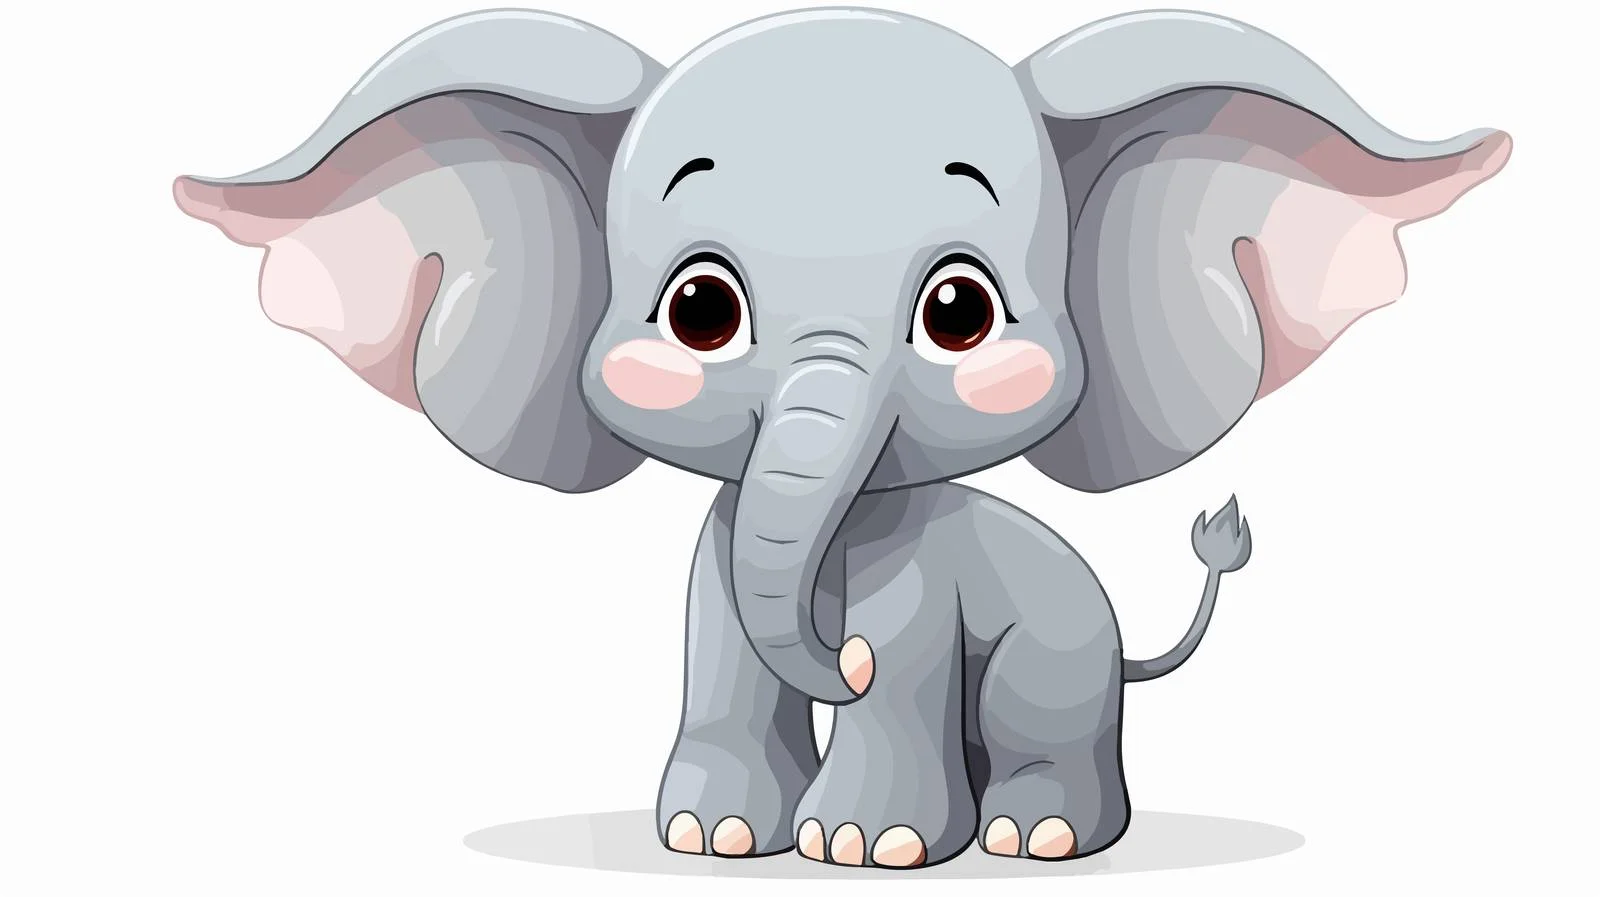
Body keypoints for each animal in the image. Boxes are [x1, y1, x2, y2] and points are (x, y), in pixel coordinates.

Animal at [172, 7, 1510, 870]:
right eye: (699, 310)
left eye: (959, 312)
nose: (841, 655)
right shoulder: (716, 554)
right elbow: (722, 643)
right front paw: (710, 840)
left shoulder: (919, 585)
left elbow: (904, 654)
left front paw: (867, 848)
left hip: (1060, 657)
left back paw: (1036, 838)